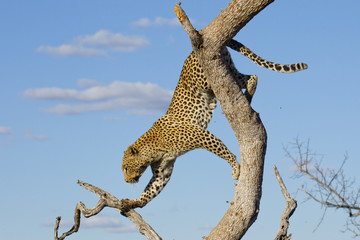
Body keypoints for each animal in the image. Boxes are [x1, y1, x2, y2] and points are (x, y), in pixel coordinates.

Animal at [121, 39, 306, 208]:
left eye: (125, 168)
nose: (126, 180)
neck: (151, 151)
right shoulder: (163, 172)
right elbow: (150, 190)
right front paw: (133, 203)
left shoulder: (199, 135)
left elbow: (222, 150)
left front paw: (235, 169)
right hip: (226, 68)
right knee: (251, 77)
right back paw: (247, 97)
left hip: (206, 78)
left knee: (232, 79)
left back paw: (245, 98)